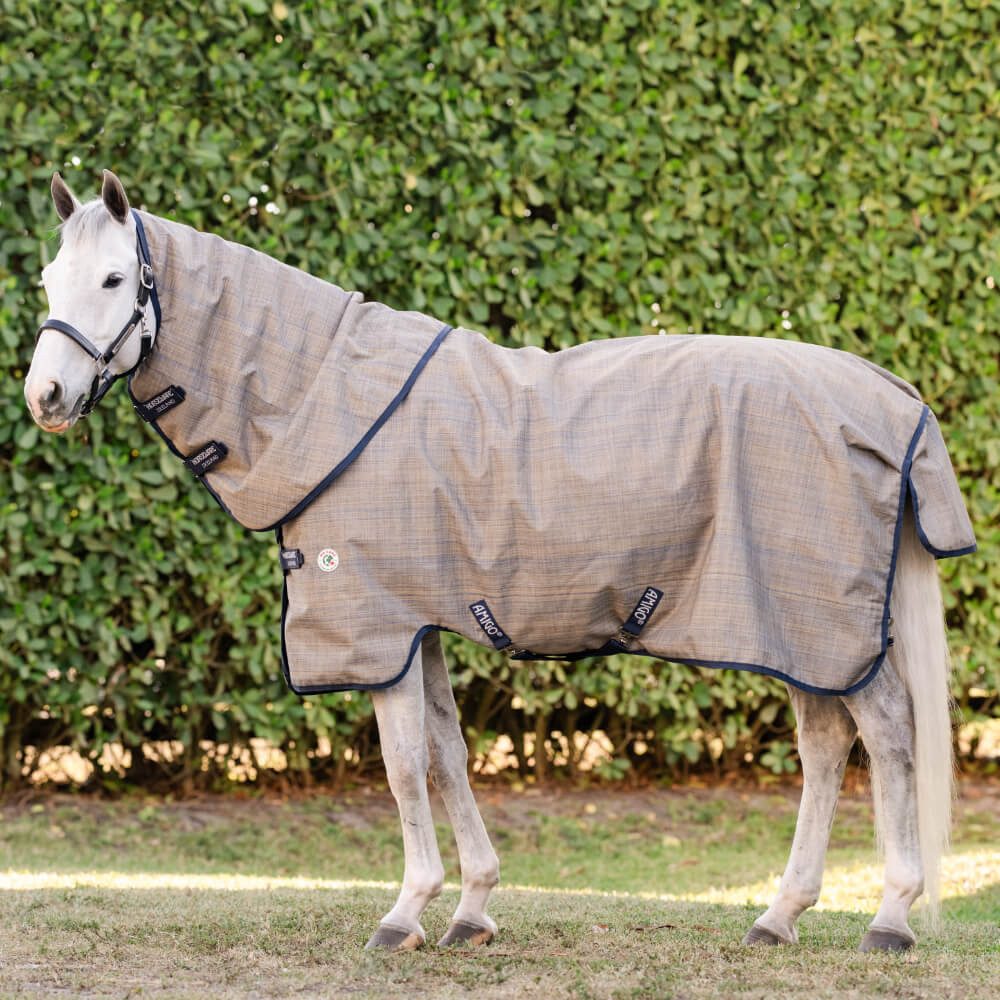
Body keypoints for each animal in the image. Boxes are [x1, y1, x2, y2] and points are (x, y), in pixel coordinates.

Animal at [24, 170, 974, 953]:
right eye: (47, 281)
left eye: (114, 281)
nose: (45, 397)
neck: (323, 400)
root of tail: (892, 400)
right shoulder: (421, 625)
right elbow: (447, 754)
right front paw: (472, 908)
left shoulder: (377, 628)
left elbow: (405, 766)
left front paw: (404, 912)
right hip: (795, 629)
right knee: (826, 744)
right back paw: (779, 916)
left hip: (819, 625)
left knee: (886, 735)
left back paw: (890, 917)